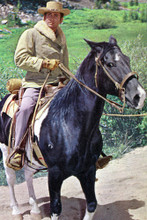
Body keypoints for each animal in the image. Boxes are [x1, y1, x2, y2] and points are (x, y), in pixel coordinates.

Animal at [0, 36, 146, 218]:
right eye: (110, 63)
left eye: (127, 59)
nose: (140, 96)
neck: (69, 124)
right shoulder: (54, 174)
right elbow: (55, 208)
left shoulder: (88, 171)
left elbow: (91, 205)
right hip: (6, 152)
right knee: (11, 178)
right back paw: (16, 211)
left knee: (27, 174)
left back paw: (35, 210)